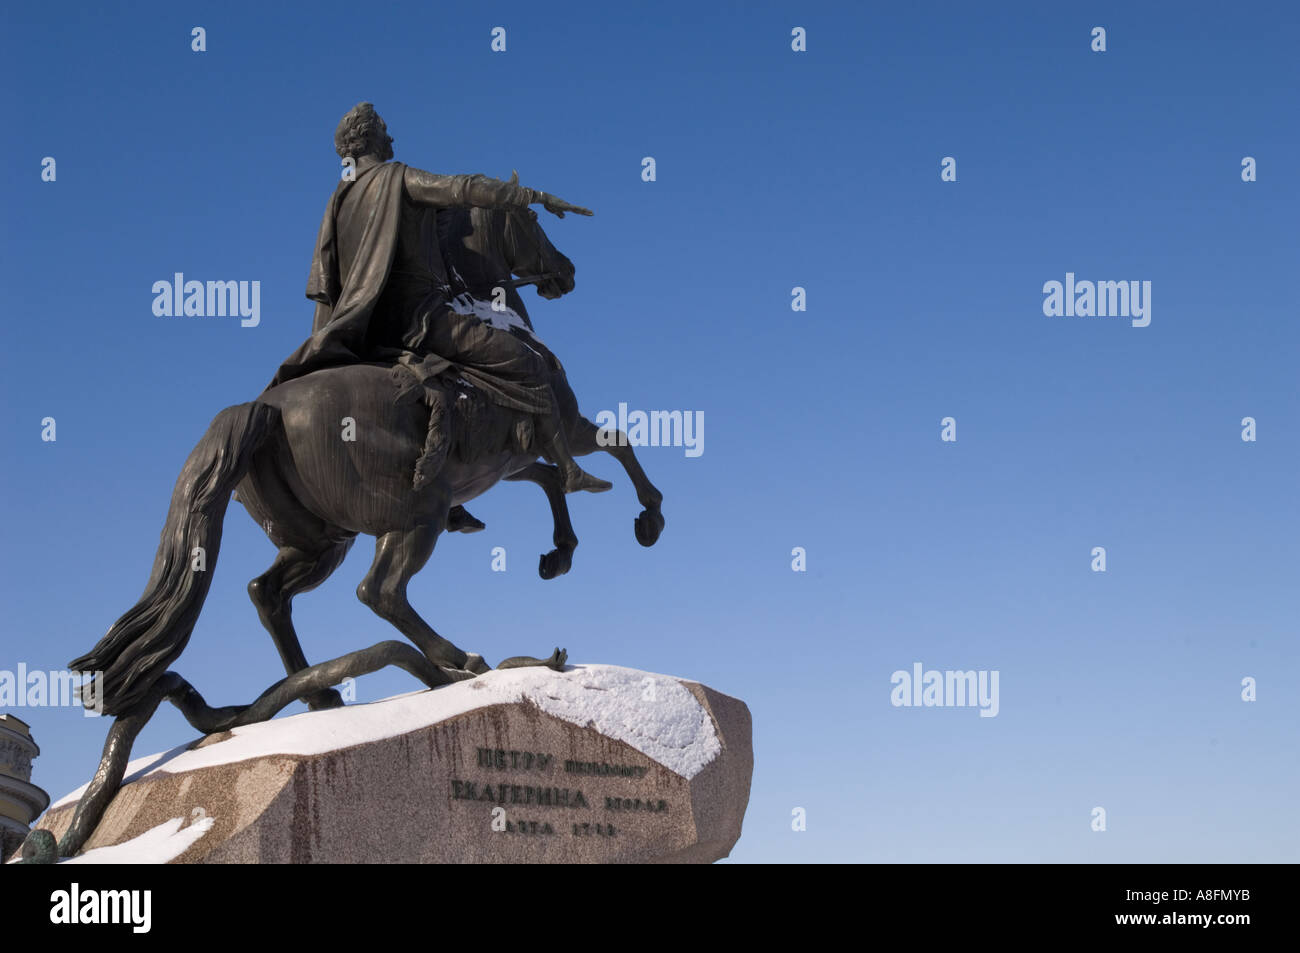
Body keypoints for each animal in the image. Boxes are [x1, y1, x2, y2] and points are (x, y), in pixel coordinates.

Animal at [65, 200, 660, 717]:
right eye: (532, 221)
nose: (566, 270)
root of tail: (265, 407)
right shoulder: (562, 424)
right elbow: (613, 444)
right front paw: (646, 519)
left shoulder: (506, 463)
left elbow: (550, 480)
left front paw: (559, 553)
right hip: (414, 515)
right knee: (380, 591)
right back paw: (457, 659)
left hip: (321, 540)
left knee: (268, 593)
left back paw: (320, 694)